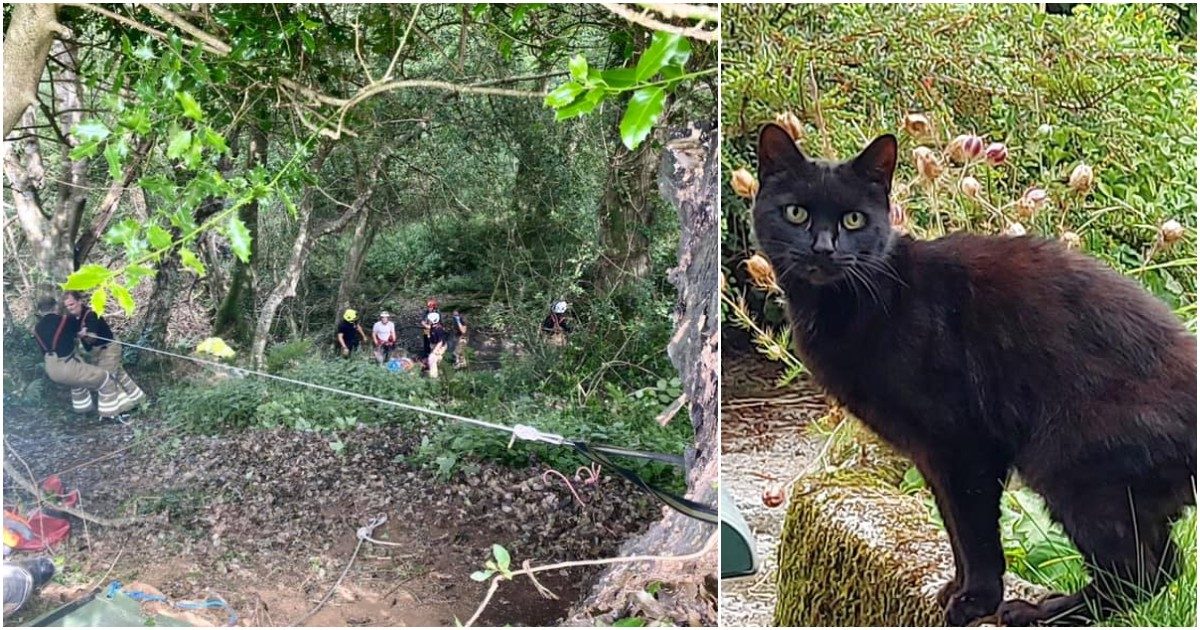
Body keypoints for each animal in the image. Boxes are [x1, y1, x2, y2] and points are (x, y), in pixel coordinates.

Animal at [753, 124, 1195, 624]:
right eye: (796, 213)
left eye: (852, 220)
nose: (823, 247)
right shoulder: (931, 455)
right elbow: (954, 528)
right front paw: (955, 589)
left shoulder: (963, 444)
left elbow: (975, 532)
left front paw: (976, 601)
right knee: (1164, 565)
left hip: (1072, 468)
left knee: (1140, 573)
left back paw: (1042, 611)